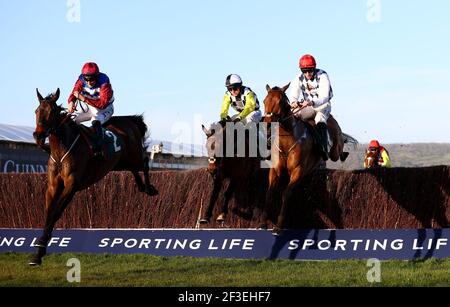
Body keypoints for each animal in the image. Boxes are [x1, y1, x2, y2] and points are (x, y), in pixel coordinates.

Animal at [29, 89, 157, 268]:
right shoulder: (53, 186)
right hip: (120, 162)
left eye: (51, 112)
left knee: (144, 163)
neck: (61, 150)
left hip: (134, 156)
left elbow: (55, 213)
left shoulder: (72, 186)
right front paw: (38, 254)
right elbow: (49, 213)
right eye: (37, 111)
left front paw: (40, 248)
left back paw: (149, 188)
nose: (38, 135)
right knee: (133, 170)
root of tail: (130, 120)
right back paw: (141, 186)